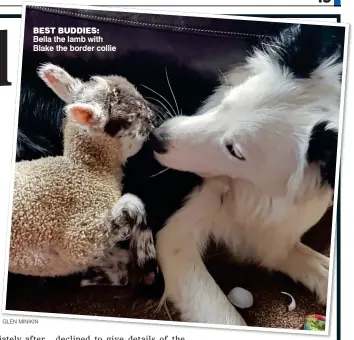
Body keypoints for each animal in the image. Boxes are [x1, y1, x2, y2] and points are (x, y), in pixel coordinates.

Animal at [9, 63, 158, 286]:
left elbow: (118, 270)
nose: (153, 118)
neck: (86, 170)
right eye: (123, 122)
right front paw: (147, 257)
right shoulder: (80, 237)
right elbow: (133, 205)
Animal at [151, 23, 342, 324]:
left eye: (235, 151)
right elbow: (224, 315)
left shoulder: (265, 236)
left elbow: (315, 263)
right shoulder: (174, 239)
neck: (245, 190)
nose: (156, 138)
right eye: (225, 104)